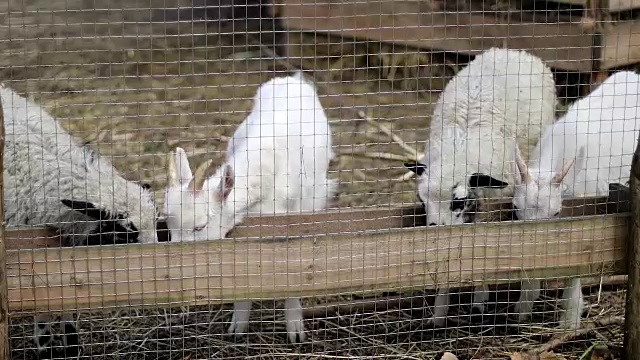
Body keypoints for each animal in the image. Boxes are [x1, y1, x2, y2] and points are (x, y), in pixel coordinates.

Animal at [404, 47, 560, 326]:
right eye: (422, 201)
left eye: (458, 201)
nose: (434, 229)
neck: (459, 150)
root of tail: (510, 50)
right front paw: (439, 313)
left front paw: (479, 302)